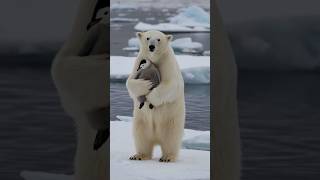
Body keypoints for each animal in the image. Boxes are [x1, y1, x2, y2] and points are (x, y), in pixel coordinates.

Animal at [125, 30, 185, 162]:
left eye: (158, 39)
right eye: (148, 38)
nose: (151, 47)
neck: (155, 59)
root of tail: (156, 138)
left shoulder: (168, 63)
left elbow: (171, 84)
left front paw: (151, 96)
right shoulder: (138, 61)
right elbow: (130, 81)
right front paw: (145, 85)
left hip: (171, 121)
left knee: (171, 139)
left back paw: (167, 157)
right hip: (141, 121)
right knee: (141, 137)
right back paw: (138, 155)